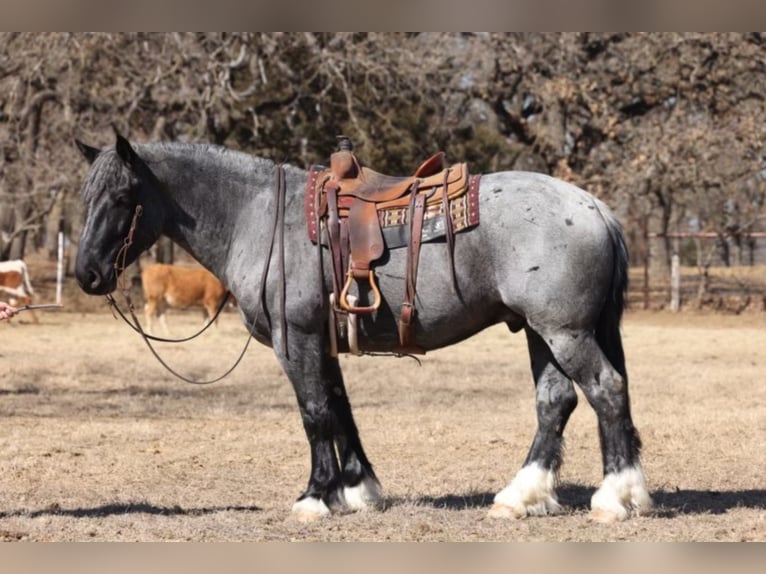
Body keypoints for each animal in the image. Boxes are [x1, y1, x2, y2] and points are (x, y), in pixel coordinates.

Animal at [73, 133, 656, 524]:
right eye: (86, 197)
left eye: (122, 198)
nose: (87, 274)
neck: (258, 218)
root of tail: (594, 208)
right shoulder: (323, 341)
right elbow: (340, 411)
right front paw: (357, 490)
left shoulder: (296, 340)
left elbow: (314, 414)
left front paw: (315, 497)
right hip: (541, 332)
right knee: (556, 402)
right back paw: (521, 496)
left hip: (565, 332)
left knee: (606, 390)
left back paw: (616, 497)